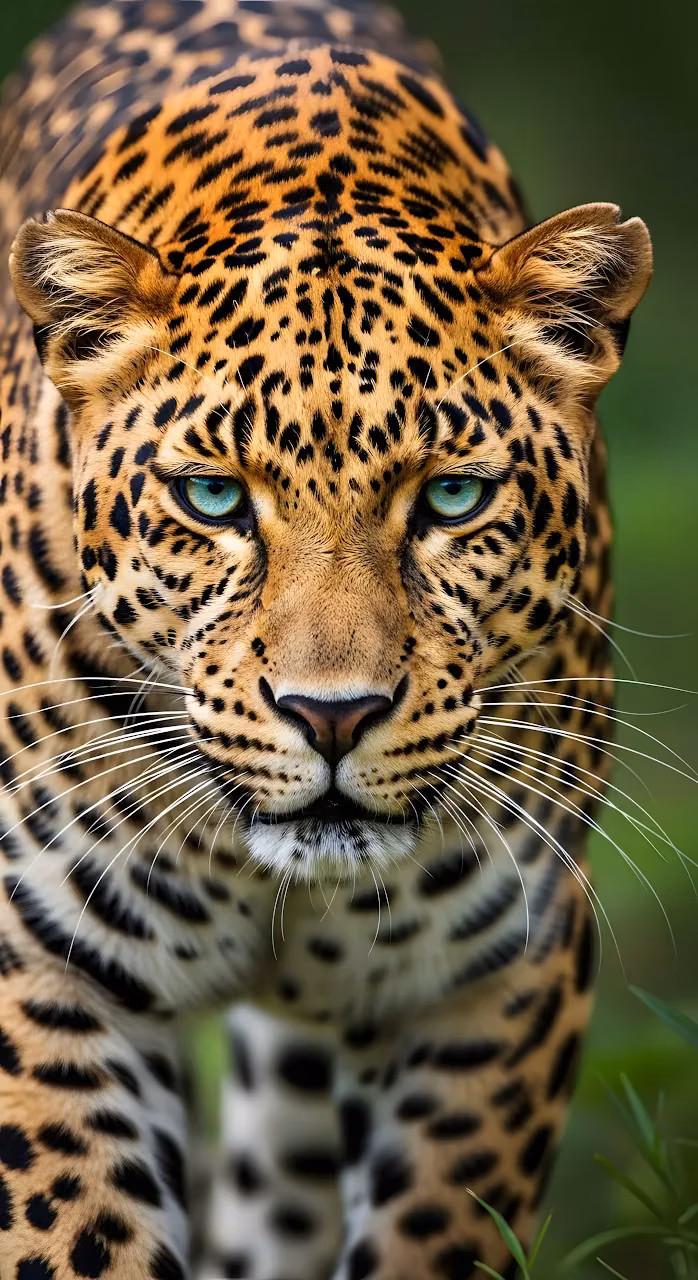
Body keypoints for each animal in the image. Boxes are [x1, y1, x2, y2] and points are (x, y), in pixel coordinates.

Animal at [0, 1, 653, 1278]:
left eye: (450, 497)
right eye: (212, 497)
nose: (332, 715)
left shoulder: (488, 978)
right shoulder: (42, 964)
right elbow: (77, 1227)